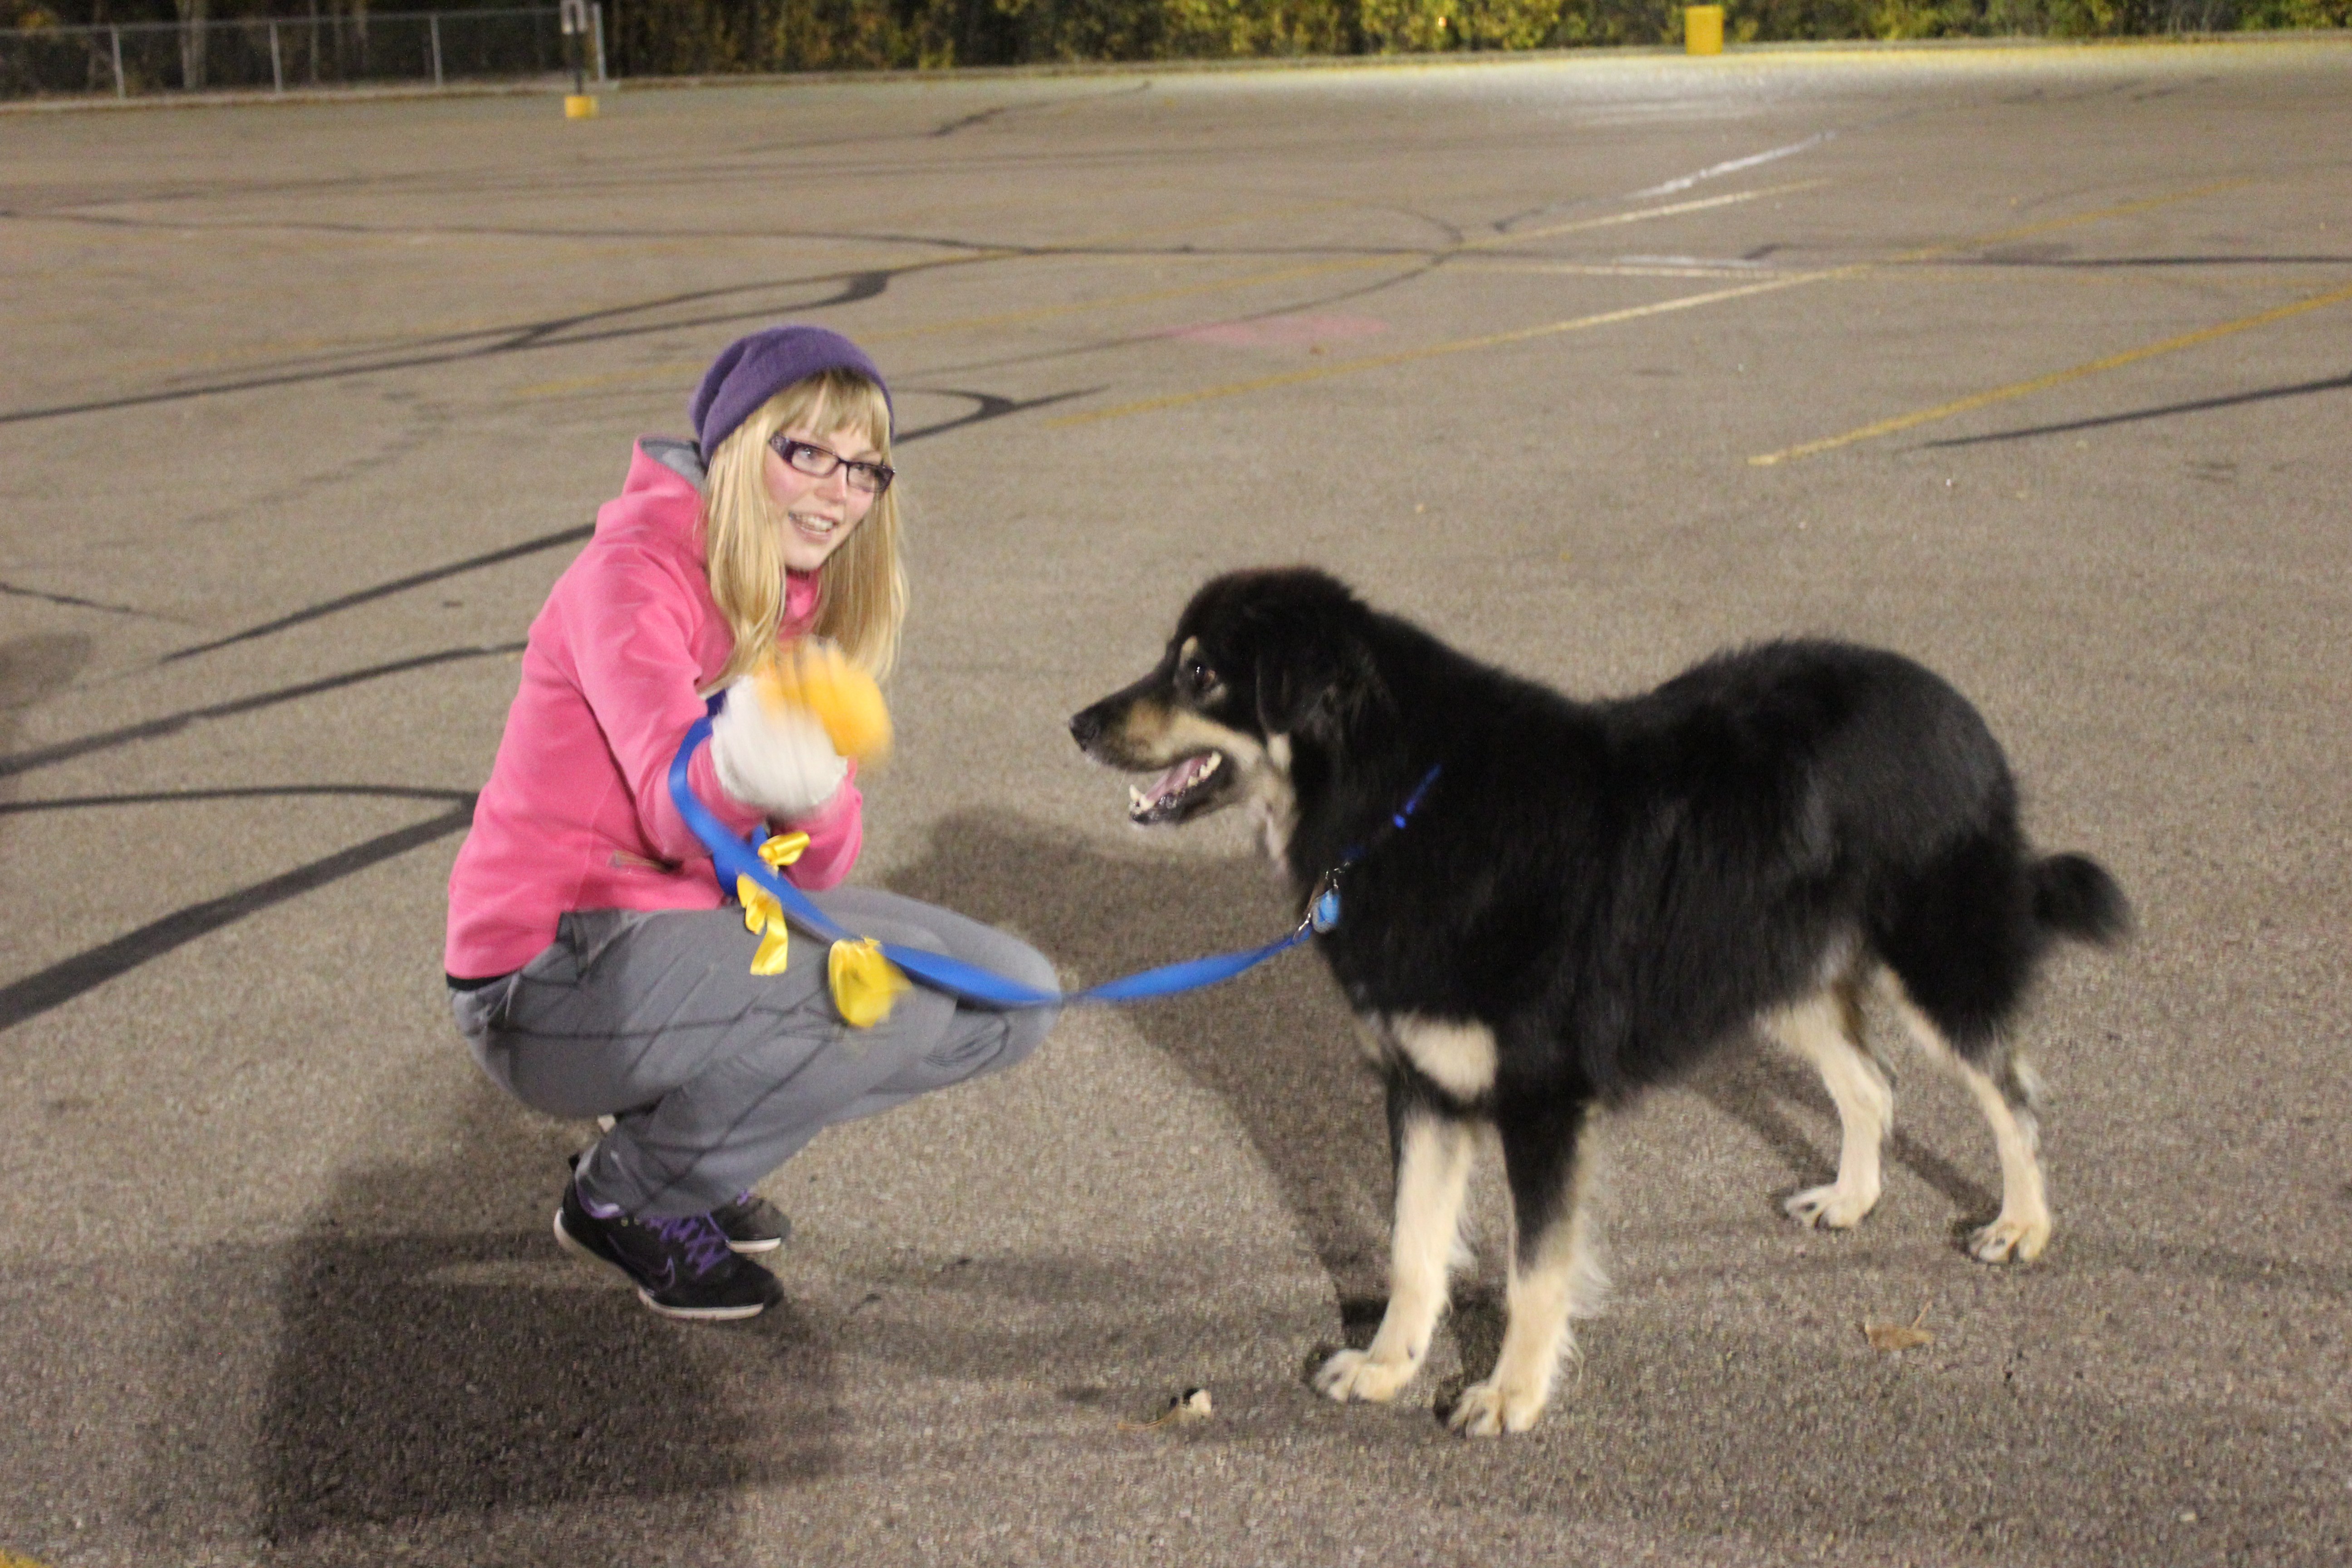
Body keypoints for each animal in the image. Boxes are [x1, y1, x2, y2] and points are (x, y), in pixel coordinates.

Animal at [1072, 571, 2136, 1439]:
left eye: (1200, 672)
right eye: (1173, 659)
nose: (1077, 724)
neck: (1405, 802)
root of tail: (1953, 706)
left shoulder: (1541, 1102)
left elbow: (1534, 1270)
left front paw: (1510, 1395)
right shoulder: (1425, 1089)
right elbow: (1415, 1247)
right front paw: (1386, 1369)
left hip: (1931, 959)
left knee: (2009, 1093)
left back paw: (2022, 1226)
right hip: (1771, 968)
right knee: (1872, 1084)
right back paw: (1850, 1199)